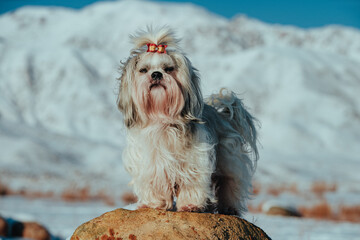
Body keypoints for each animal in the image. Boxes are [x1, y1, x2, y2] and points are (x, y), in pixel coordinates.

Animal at [118, 27, 258, 217]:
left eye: (169, 69)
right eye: (143, 70)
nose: (156, 74)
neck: (162, 119)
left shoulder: (195, 162)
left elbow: (192, 183)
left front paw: (191, 205)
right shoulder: (150, 165)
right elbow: (154, 184)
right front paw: (153, 204)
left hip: (229, 159)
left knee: (230, 183)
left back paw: (229, 207)